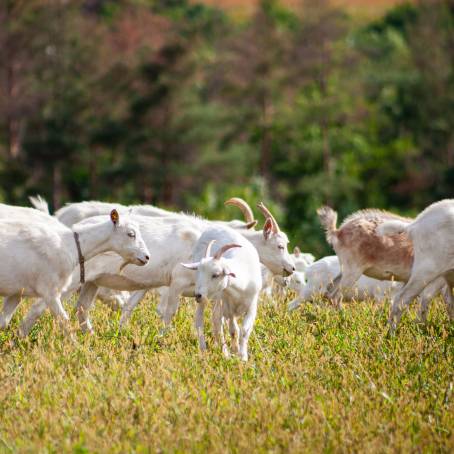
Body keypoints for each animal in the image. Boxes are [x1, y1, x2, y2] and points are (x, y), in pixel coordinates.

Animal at [180, 227, 258, 362]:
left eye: (215, 275)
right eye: (198, 272)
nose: (197, 295)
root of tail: (211, 228)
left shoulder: (252, 305)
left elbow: (243, 330)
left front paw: (242, 356)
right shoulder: (226, 305)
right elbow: (230, 329)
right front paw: (233, 352)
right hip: (211, 300)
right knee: (202, 320)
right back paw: (205, 349)